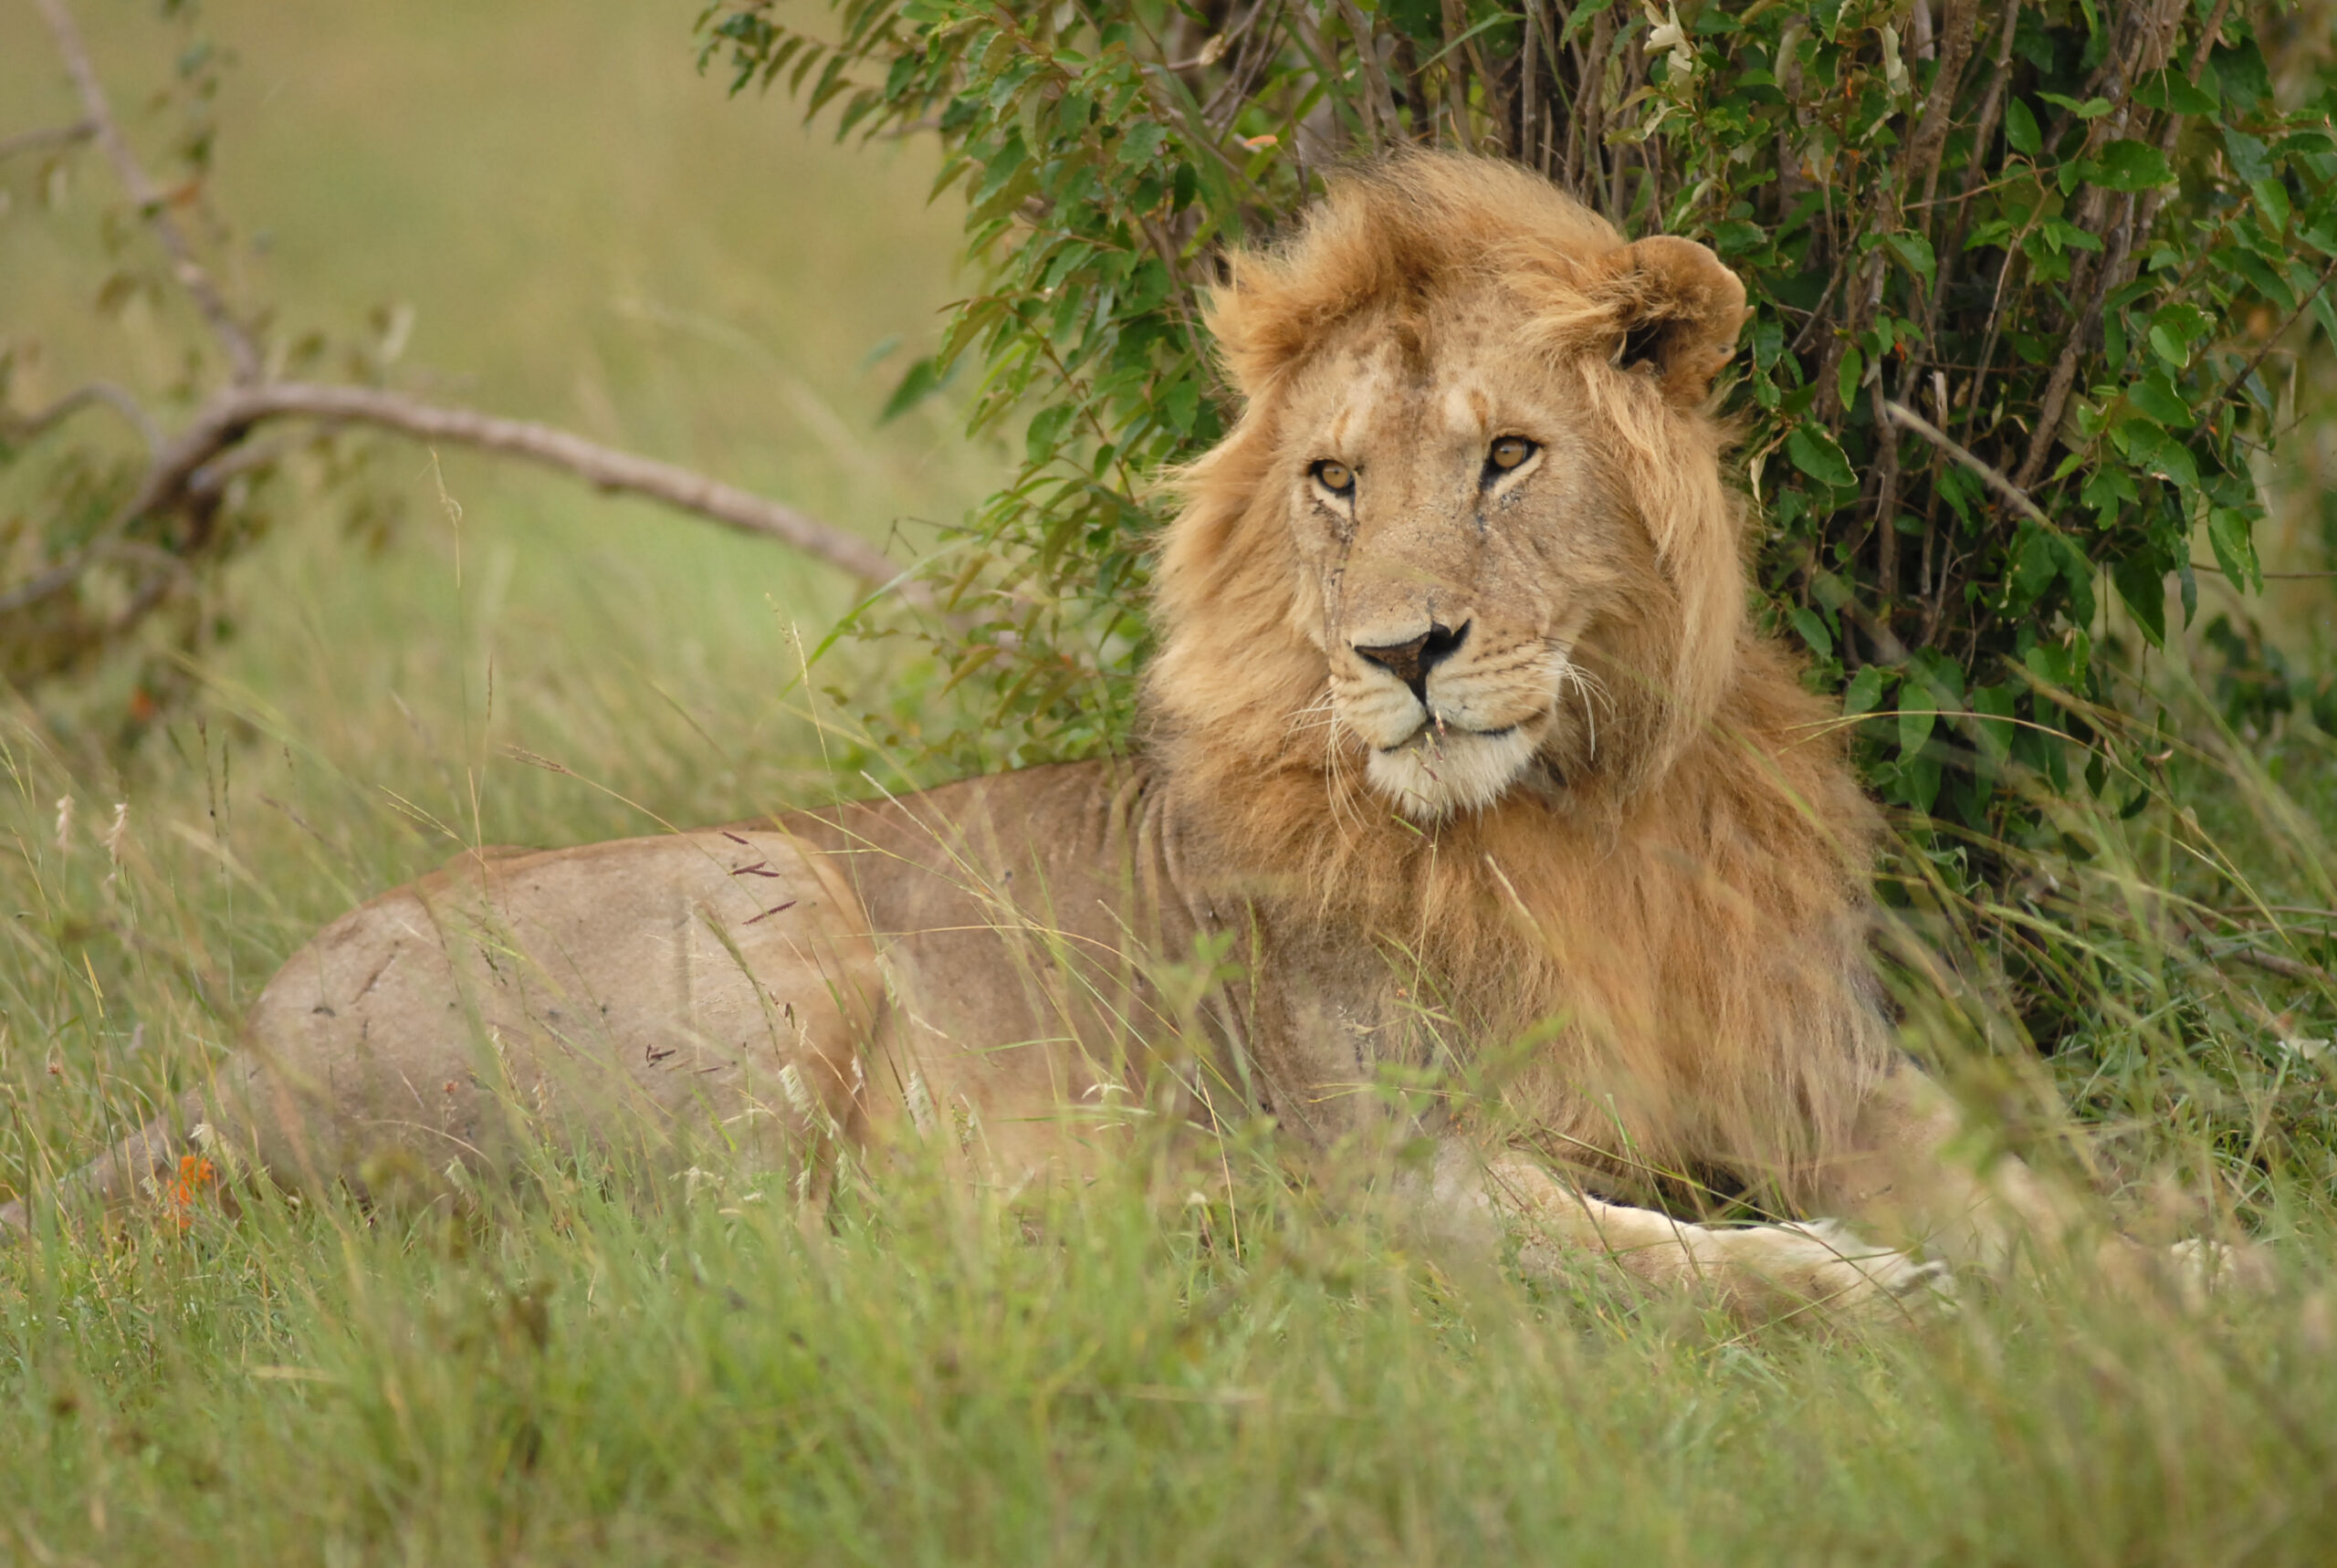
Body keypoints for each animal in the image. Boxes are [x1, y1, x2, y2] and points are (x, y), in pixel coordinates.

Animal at [0, 154, 2235, 1318]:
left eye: (1507, 457)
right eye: (1335, 480)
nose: (1407, 651)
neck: (1582, 814)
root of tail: (223, 1062)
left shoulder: (1839, 1081)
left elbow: (2082, 1213)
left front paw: (2220, 1280)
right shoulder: (1399, 1168)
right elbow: (1684, 1260)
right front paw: (1871, 1289)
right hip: (770, 905)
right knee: (747, 1265)